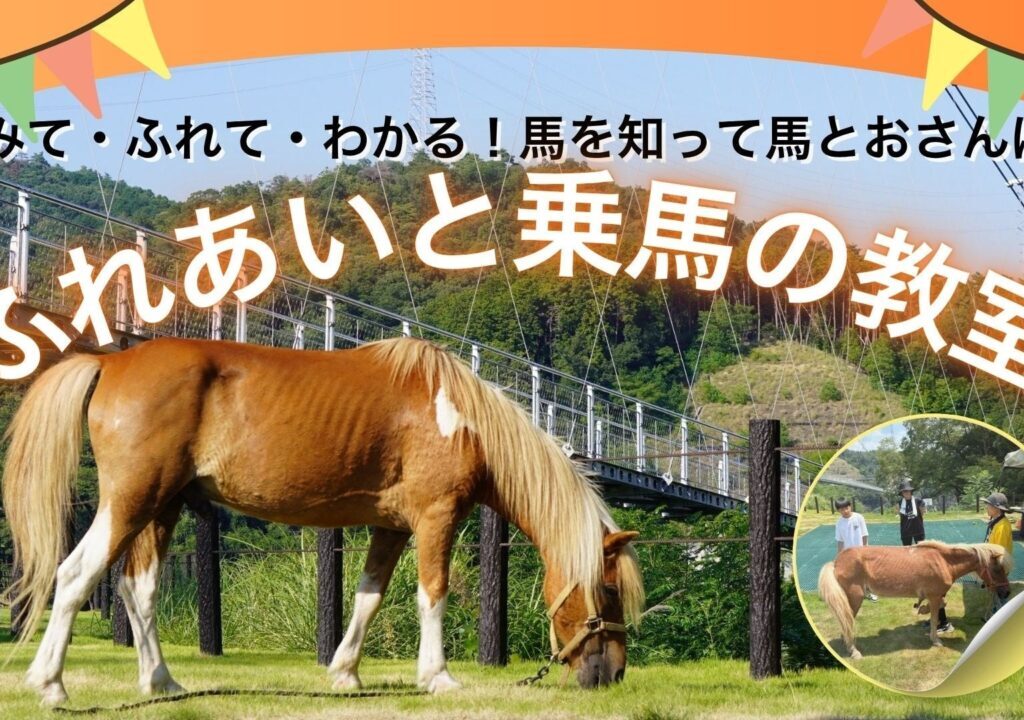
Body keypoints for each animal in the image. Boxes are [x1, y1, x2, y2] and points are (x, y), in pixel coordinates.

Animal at [1, 337, 645, 705]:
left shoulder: (392, 526)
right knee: (74, 576)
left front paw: (345, 674)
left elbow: (369, 597)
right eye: (608, 591)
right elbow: (431, 594)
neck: (459, 417)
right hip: (132, 501)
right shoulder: (436, 518)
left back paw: (161, 684)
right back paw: (51, 685)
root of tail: (110, 362)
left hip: (163, 507)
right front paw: (436, 677)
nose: (613, 676)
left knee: (139, 591)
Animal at [817, 540, 1012, 659]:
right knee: (847, 620)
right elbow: (934, 618)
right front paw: (936, 640)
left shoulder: (936, 597)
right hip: (854, 598)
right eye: (997, 569)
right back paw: (853, 650)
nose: (1006, 592)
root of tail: (837, 562)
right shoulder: (934, 596)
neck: (944, 561)